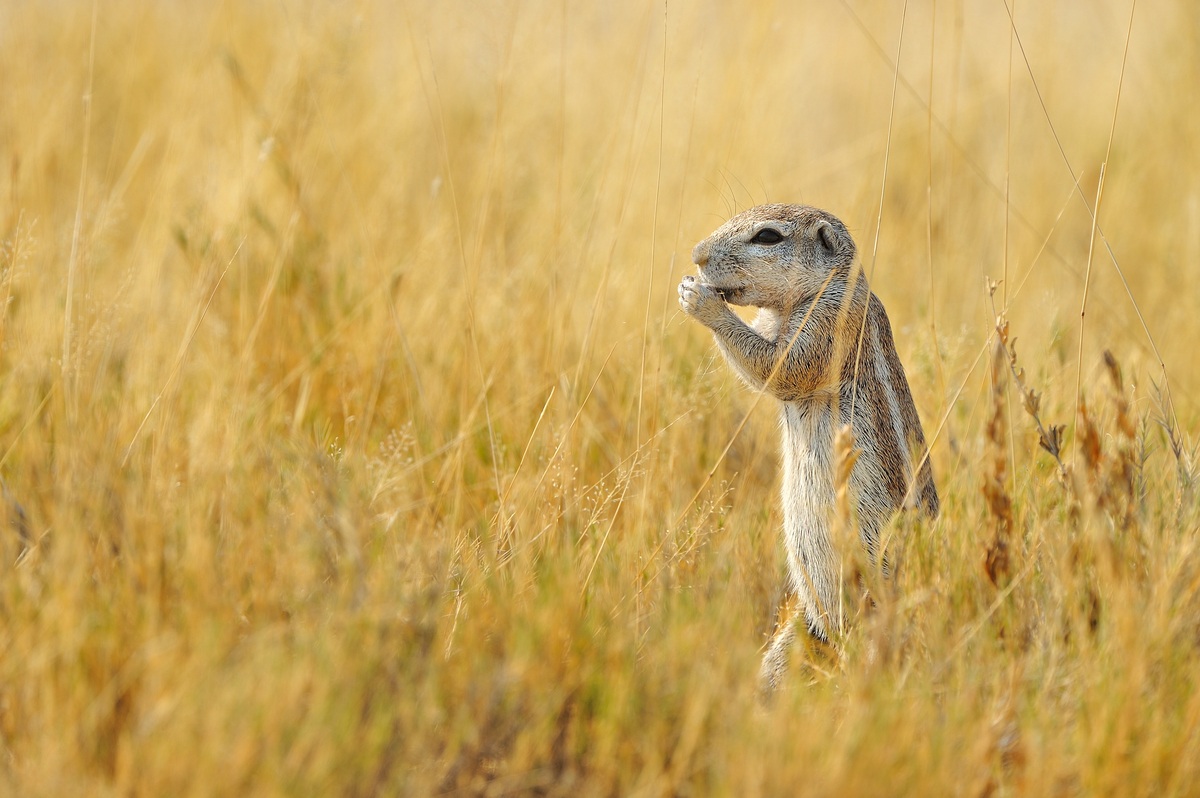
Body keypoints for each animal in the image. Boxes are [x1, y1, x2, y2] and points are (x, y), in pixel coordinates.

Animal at [678, 203, 938, 690]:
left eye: (766, 236)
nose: (696, 254)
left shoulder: (829, 321)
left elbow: (780, 367)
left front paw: (700, 299)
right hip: (804, 629)